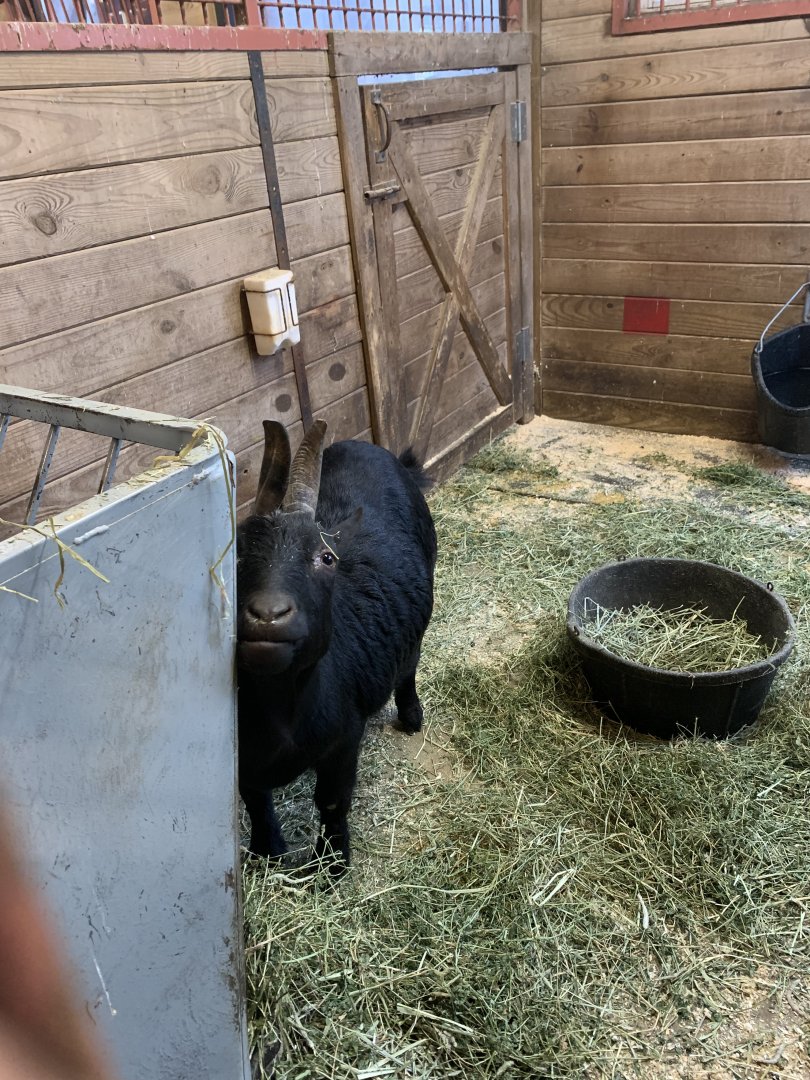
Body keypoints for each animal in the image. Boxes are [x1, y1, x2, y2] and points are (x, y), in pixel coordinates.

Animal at [236, 419, 436, 872]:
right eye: (234, 556)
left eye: (325, 557)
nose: (269, 615)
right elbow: (254, 798)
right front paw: (267, 851)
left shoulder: (345, 736)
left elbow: (331, 800)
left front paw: (332, 864)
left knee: (410, 663)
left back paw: (411, 716)